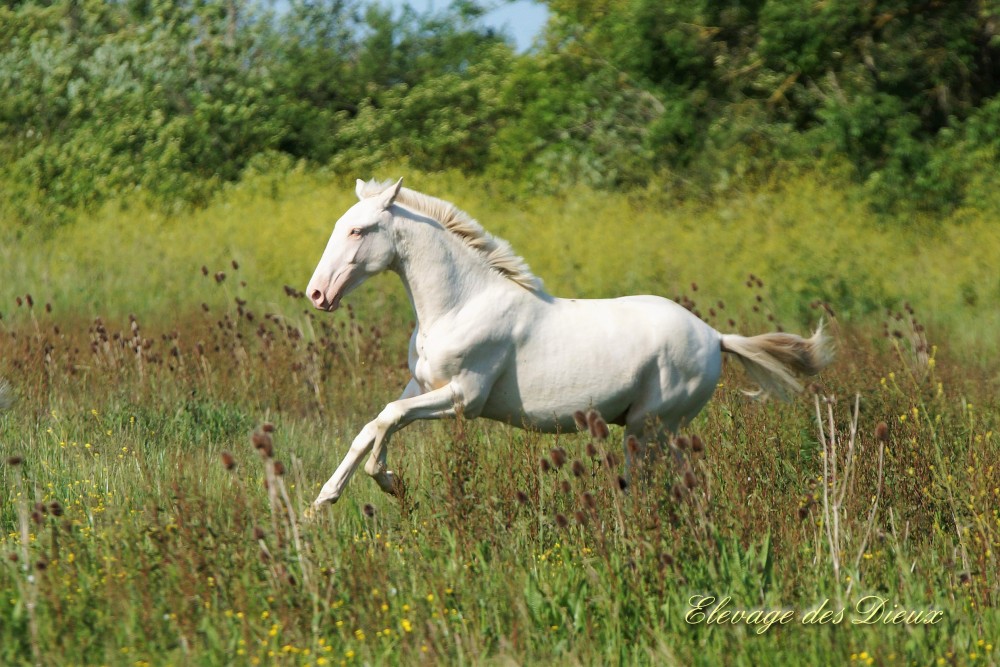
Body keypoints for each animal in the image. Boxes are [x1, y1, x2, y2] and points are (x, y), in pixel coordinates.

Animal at [302, 177, 828, 506]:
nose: (317, 294)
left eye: (358, 229)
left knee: (650, 482)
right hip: (659, 430)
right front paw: (327, 499)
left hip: (649, 427)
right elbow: (372, 424)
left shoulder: (463, 398)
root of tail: (715, 337)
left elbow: (388, 418)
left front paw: (387, 481)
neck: (461, 304)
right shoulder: (423, 385)